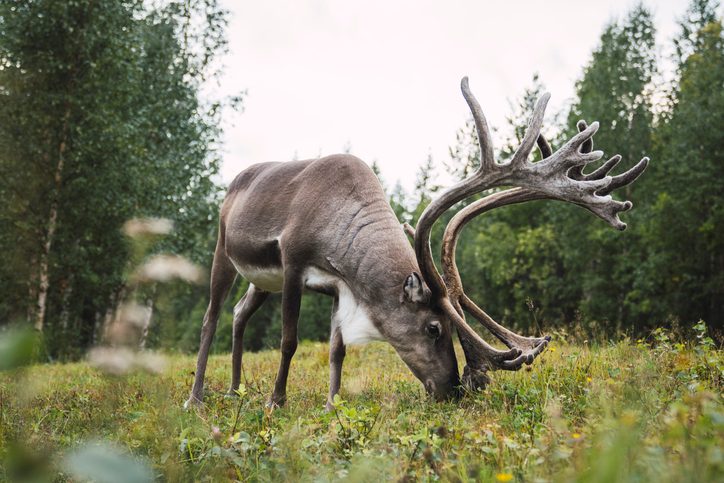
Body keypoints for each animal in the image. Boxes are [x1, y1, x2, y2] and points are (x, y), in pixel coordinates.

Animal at [185, 77, 648, 410]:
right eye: (433, 327)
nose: (453, 389)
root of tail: (235, 180)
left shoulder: (339, 286)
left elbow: (336, 349)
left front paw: (333, 404)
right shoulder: (295, 263)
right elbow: (289, 340)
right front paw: (276, 402)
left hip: (261, 279)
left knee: (239, 314)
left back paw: (235, 390)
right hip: (225, 251)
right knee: (210, 317)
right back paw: (197, 398)